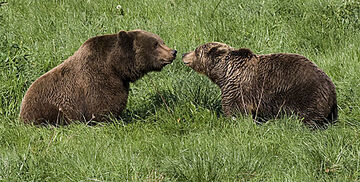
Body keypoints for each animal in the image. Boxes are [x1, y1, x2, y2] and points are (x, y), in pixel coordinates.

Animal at [19, 29, 177, 125]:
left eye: (161, 41)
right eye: (155, 44)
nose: (173, 52)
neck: (115, 66)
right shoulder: (97, 78)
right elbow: (103, 105)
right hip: (49, 109)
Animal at [183, 42, 338, 128]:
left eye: (196, 50)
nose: (184, 54)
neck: (224, 73)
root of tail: (332, 88)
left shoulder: (237, 89)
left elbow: (235, 110)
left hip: (307, 95)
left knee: (308, 118)